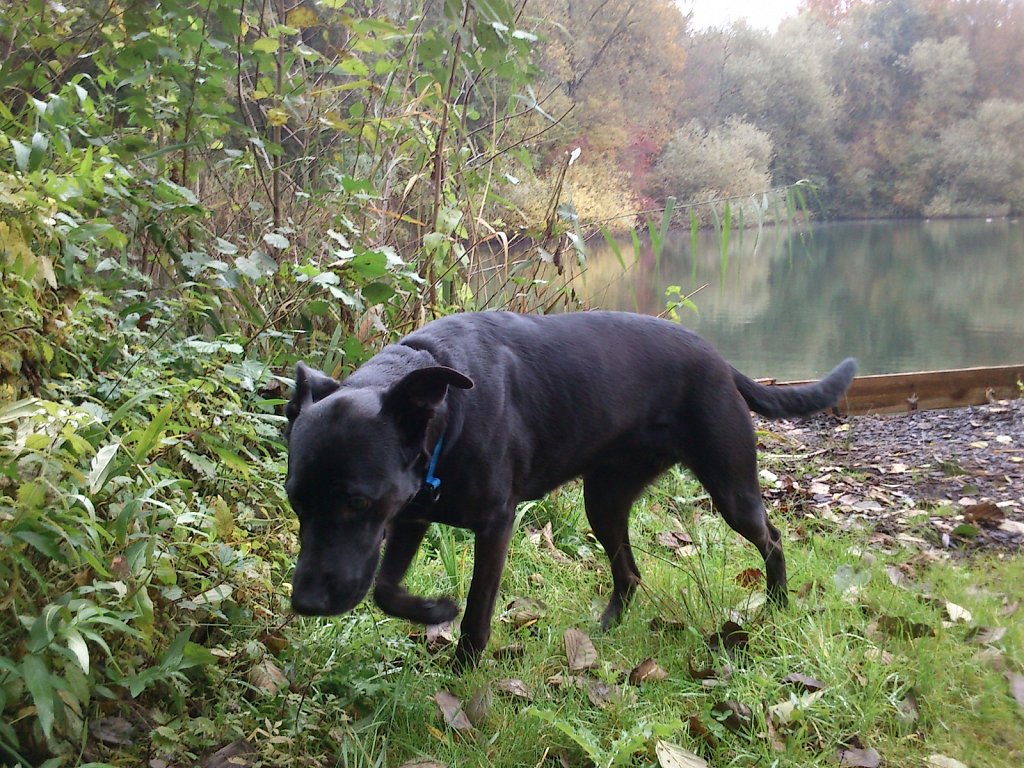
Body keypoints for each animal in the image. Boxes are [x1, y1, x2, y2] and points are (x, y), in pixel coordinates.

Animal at [282, 311, 856, 667]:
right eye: (295, 502)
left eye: (357, 500)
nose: (305, 603)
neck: (448, 406)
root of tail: (718, 359)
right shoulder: (410, 513)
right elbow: (384, 588)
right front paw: (432, 611)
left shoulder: (494, 524)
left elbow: (477, 612)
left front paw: (461, 668)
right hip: (603, 499)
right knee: (630, 570)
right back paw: (608, 627)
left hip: (730, 488)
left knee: (772, 538)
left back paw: (777, 603)